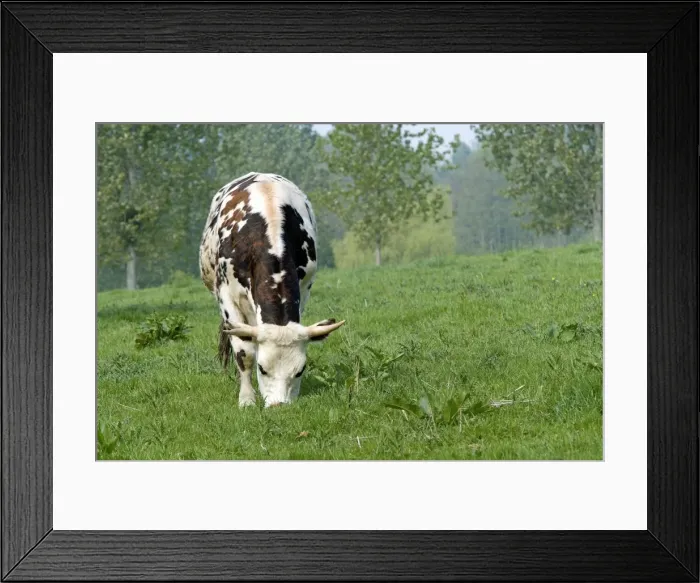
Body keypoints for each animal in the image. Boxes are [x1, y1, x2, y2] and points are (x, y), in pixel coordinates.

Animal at [199, 171, 345, 408]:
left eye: (300, 371)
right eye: (262, 369)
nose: (279, 406)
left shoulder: (304, 290)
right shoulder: (227, 296)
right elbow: (244, 352)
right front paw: (247, 399)